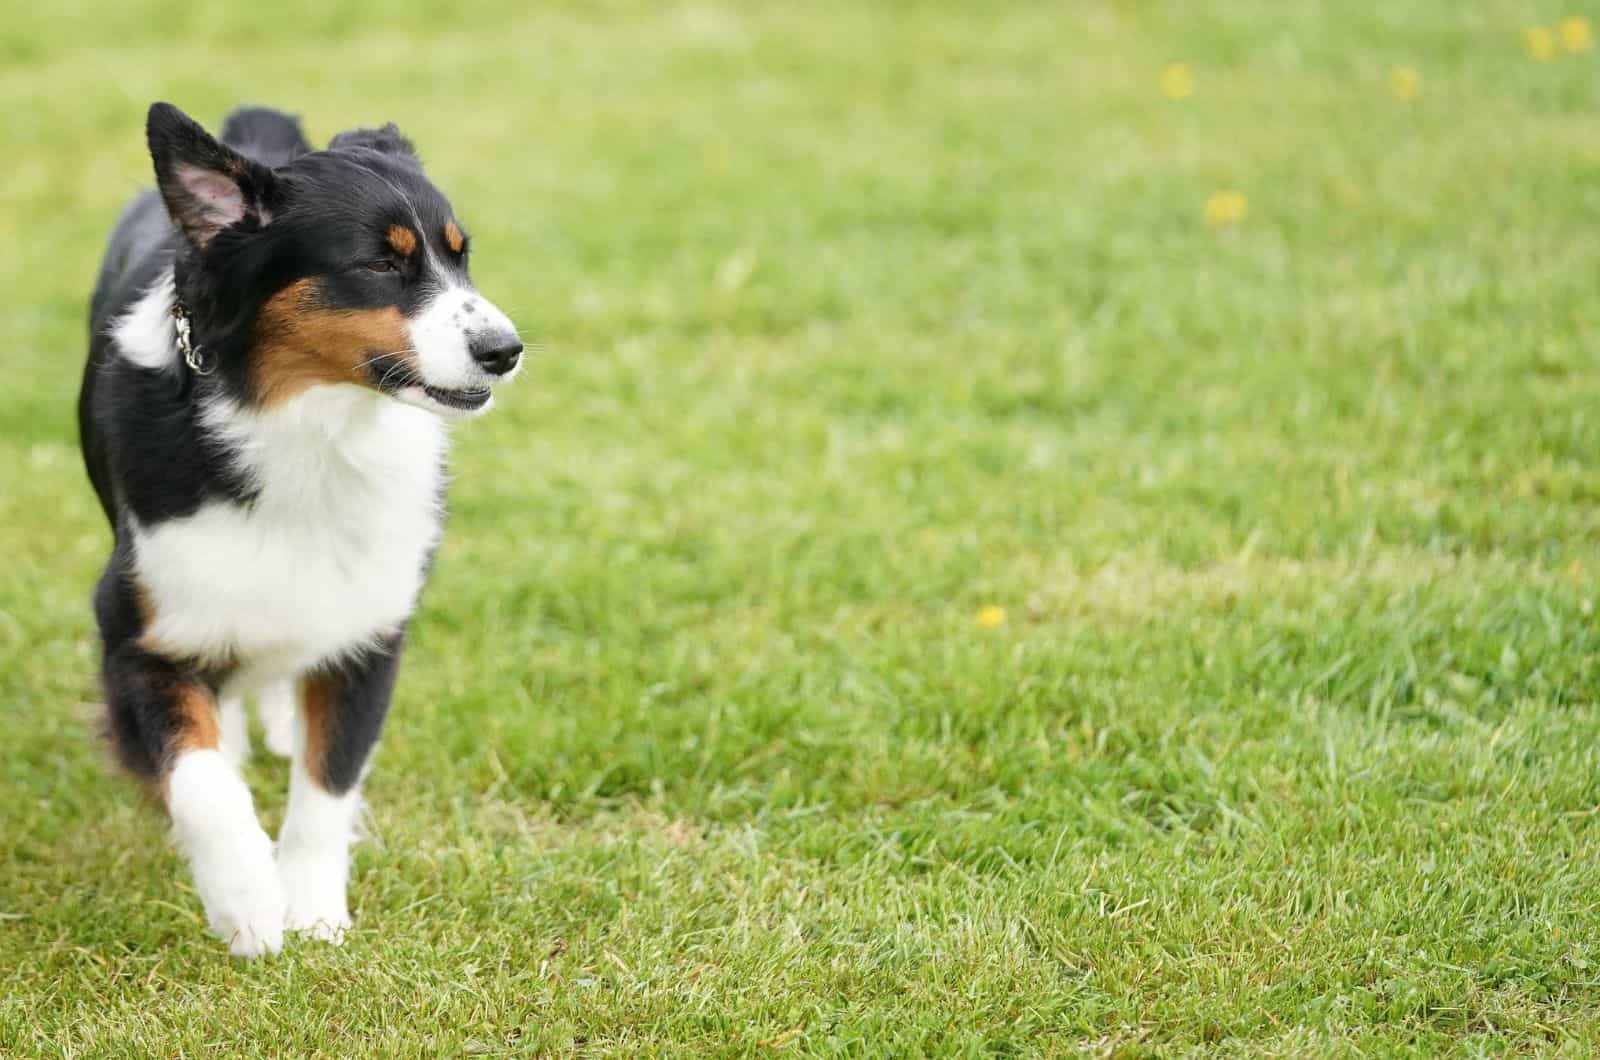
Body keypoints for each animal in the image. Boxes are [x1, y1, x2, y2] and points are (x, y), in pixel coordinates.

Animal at [81, 104, 521, 960]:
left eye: (462, 257)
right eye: (379, 264)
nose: (506, 351)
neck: (309, 430)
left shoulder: (370, 633)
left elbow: (328, 784)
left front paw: (314, 910)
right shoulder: (134, 635)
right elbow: (200, 779)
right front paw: (248, 900)